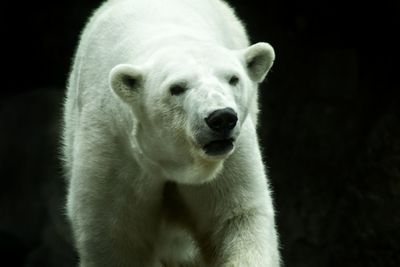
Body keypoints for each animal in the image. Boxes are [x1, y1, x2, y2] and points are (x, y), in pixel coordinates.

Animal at [62, 0, 280, 266]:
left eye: (233, 78)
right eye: (176, 88)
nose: (221, 118)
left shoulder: (231, 157)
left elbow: (237, 217)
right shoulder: (114, 149)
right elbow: (116, 239)